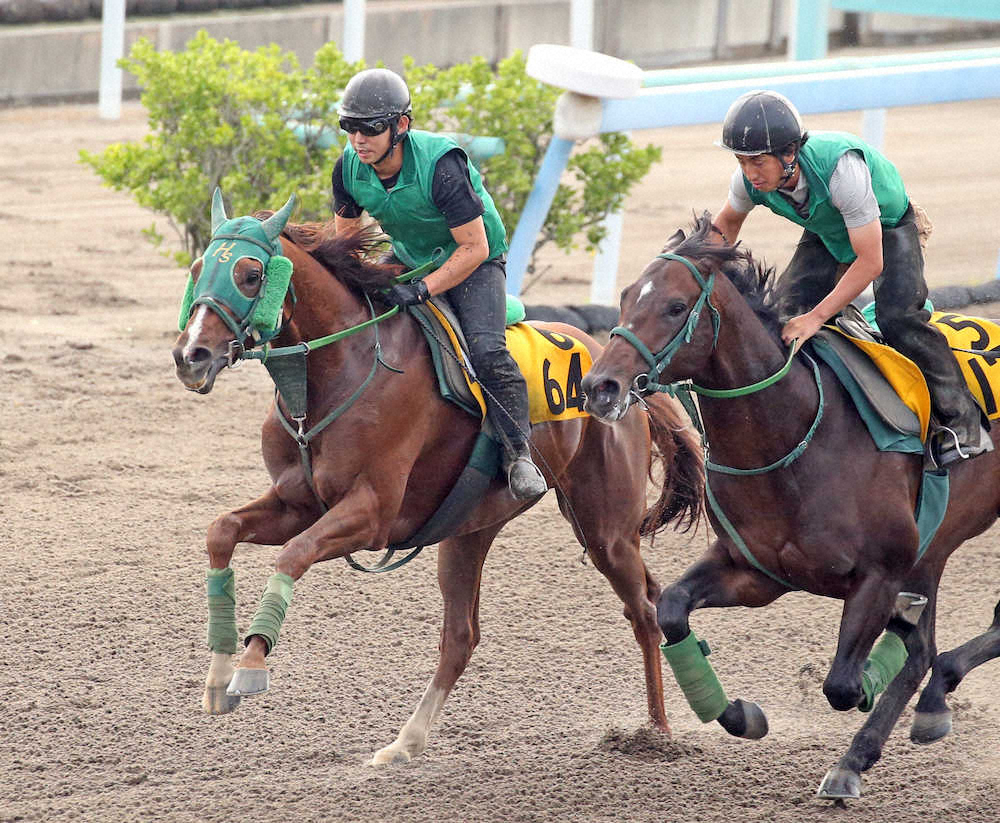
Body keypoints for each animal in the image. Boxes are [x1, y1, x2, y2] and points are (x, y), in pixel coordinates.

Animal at [170, 193, 704, 768]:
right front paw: (218, 677)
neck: (341, 369)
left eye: (250, 274)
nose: (190, 356)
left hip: (605, 528)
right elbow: (222, 531)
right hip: (470, 528)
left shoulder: (372, 515)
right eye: (198, 270)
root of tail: (619, 372)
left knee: (644, 610)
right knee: (462, 636)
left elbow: (292, 554)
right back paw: (403, 743)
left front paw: (250, 667)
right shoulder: (298, 502)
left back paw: (656, 734)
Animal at [580, 216, 1000, 800]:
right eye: (623, 297)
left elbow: (845, 684)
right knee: (928, 650)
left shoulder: (882, 573)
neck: (793, 434)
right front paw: (738, 713)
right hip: (930, 555)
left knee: (934, 651)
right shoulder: (757, 571)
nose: (600, 386)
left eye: (674, 306)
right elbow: (672, 611)